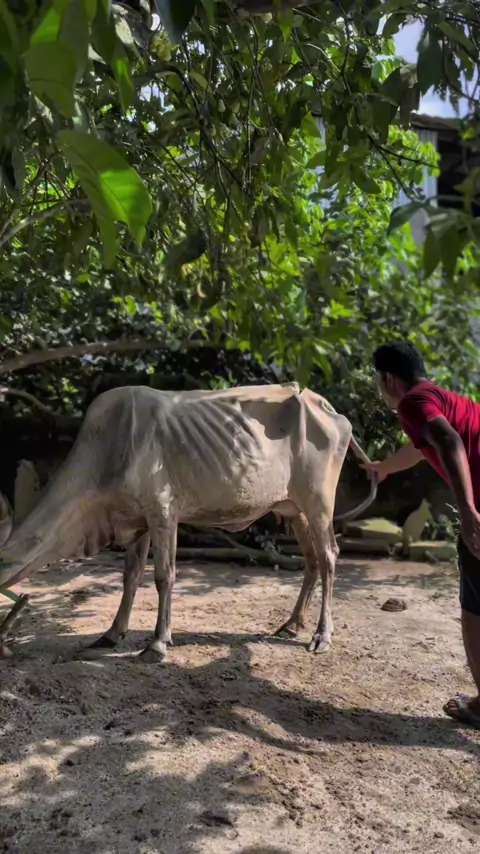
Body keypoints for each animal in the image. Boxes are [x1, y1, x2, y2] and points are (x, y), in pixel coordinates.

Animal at [0, 382, 376, 659]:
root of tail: (325, 405)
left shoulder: (163, 512)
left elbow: (164, 576)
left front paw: (157, 643)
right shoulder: (136, 521)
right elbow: (130, 577)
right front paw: (111, 634)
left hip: (319, 503)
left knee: (329, 556)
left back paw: (321, 635)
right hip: (292, 509)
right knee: (311, 560)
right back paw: (292, 623)